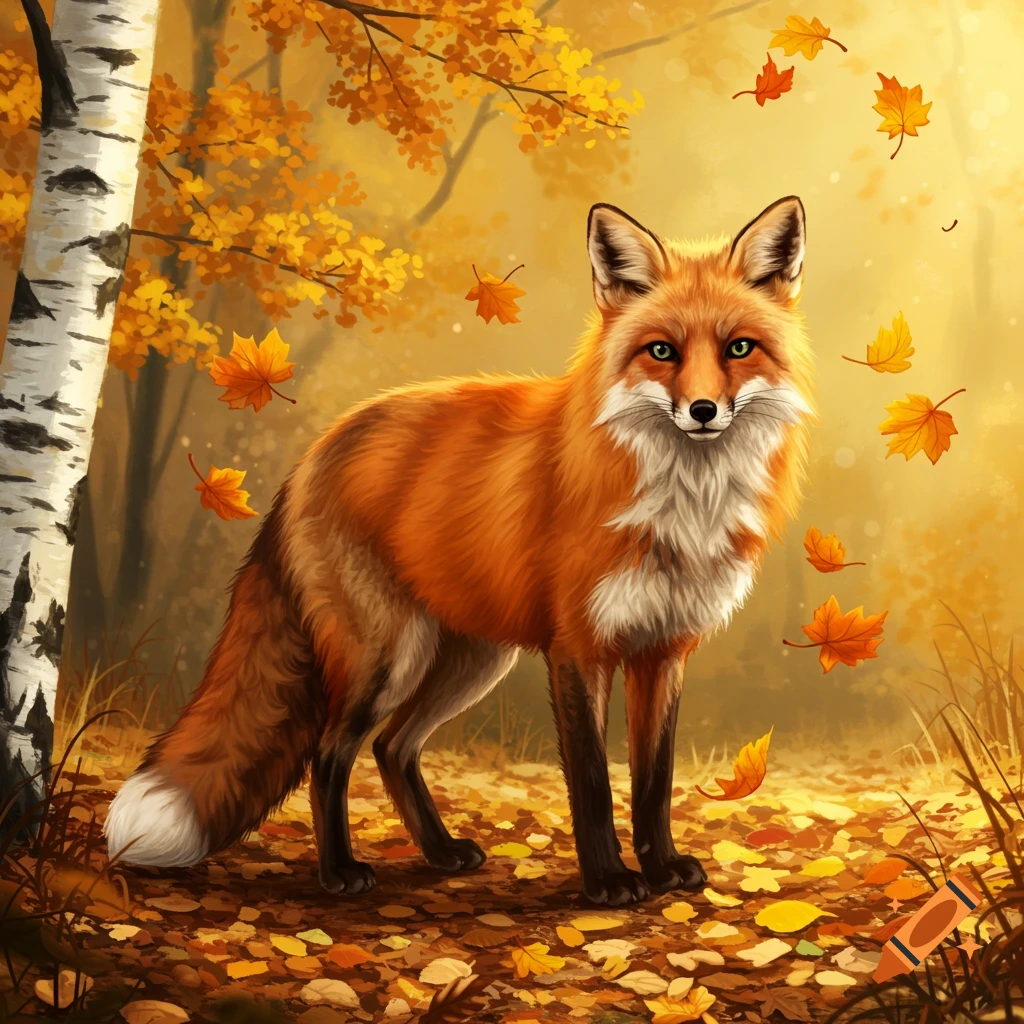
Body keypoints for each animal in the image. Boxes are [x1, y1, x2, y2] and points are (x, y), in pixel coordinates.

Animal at [105, 196, 813, 906]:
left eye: (739, 348)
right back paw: (339, 873)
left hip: (470, 661)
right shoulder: (579, 648)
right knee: (330, 755)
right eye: (661, 351)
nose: (703, 410)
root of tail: (315, 451)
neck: (680, 505)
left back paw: (441, 853)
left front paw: (662, 868)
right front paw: (609, 881)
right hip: (388, 658)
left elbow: (653, 780)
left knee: (393, 748)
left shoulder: (664, 650)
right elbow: (591, 781)